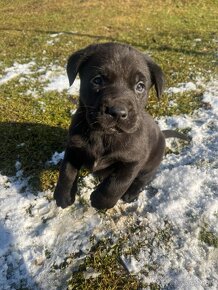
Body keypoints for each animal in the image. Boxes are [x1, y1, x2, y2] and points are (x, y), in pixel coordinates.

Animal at [53, 42, 177, 208]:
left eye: (140, 86)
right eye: (97, 80)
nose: (117, 112)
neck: (103, 135)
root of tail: (162, 134)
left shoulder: (133, 161)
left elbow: (117, 184)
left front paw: (100, 201)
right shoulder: (74, 147)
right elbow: (67, 172)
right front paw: (63, 195)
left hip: (151, 165)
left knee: (142, 180)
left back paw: (130, 194)